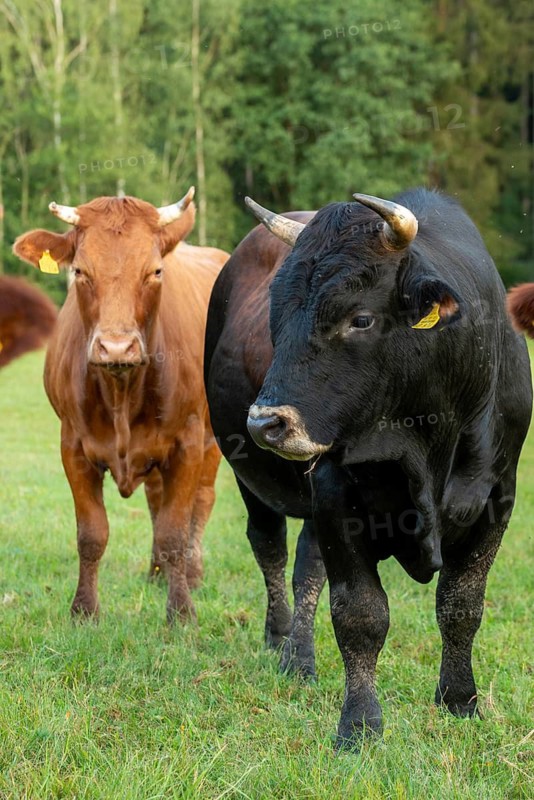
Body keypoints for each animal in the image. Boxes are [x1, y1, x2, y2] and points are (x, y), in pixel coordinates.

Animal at [14, 188, 227, 623]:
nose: (116, 347)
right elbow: (92, 533)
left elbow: (175, 530)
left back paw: (192, 575)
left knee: (201, 501)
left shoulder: (188, 442)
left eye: (156, 271)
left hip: (212, 437)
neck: (121, 390)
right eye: (80, 271)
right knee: (156, 499)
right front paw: (84, 610)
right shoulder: (72, 446)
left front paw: (181, 612)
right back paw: (157, 573)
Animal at [205, 188, 532, 748]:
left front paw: (459, 699)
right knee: (270, 549)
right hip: (250, 477)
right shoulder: (337, 497)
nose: (265, 422)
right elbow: (360, 613)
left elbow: (461, 604)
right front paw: (359, 724)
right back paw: (282, 641)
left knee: (306, 566)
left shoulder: (496, 498)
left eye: (359, 318)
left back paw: (300, 656)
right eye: (276, 316)